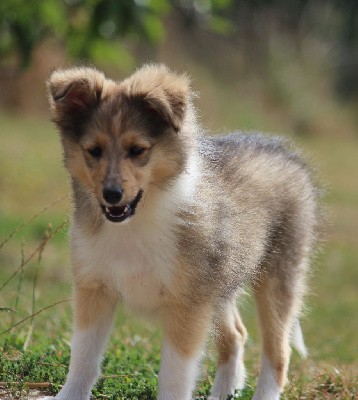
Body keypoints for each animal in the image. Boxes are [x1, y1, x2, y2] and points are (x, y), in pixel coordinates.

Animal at [44, 64, 316, 398]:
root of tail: (288, 156)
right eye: (94, 150)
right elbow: (82, 358)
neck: (137, 223)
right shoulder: (94, 289)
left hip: (277, 280)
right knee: (235, 335)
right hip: (219, 285)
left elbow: (175, 375)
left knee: (278, 355)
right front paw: (68, 395)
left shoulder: (187, 306)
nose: (112, 195)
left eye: (137, 150)